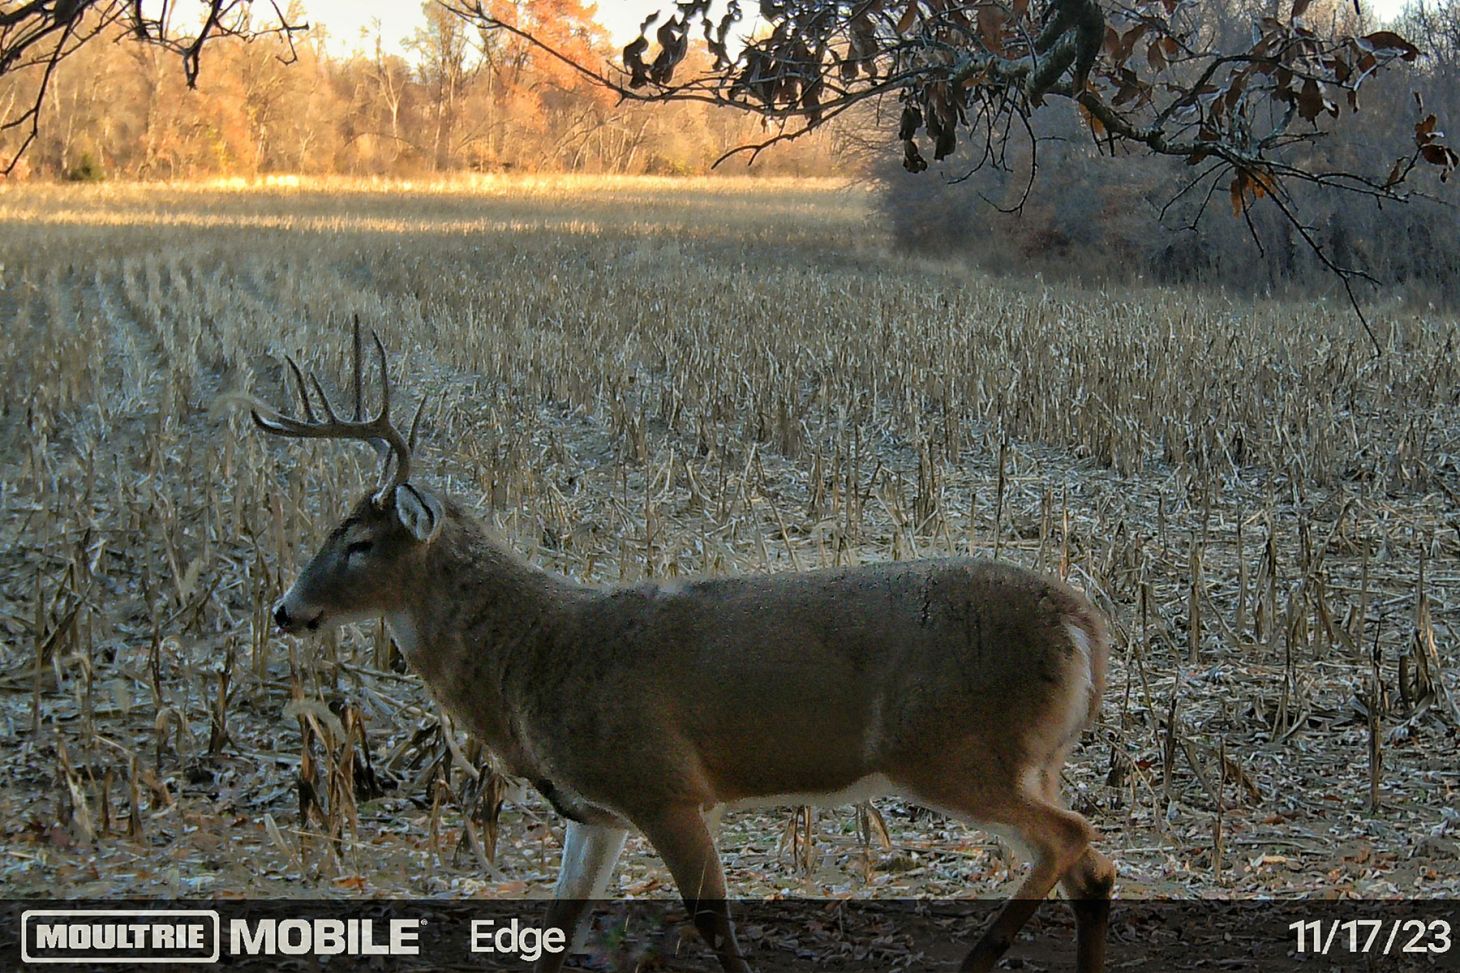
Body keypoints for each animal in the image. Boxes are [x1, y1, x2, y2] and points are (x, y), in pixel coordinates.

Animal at [251, 323, 1116, 973]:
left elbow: (715, 929)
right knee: (1090, 868)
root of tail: (1081, 621)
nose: (286, 610)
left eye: (360, 542)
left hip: (954, 749)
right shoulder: (596, 811)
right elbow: (558, 928)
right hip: (1026, 756)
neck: (531, 656)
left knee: (1071, 838)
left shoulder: (664, 784)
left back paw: (976, 959)